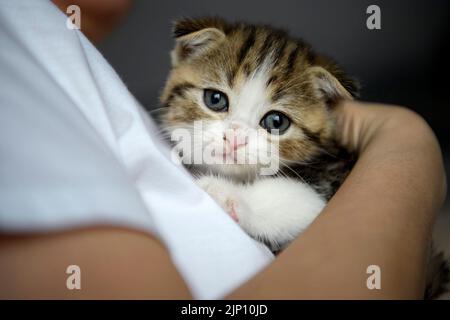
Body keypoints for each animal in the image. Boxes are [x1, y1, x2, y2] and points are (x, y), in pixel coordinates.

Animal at [156, 16, 448, 298]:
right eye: (215, 99)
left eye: (276, 122)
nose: (235, 137)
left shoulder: (332, 178)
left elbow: (301, 200)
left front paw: (224, 192)